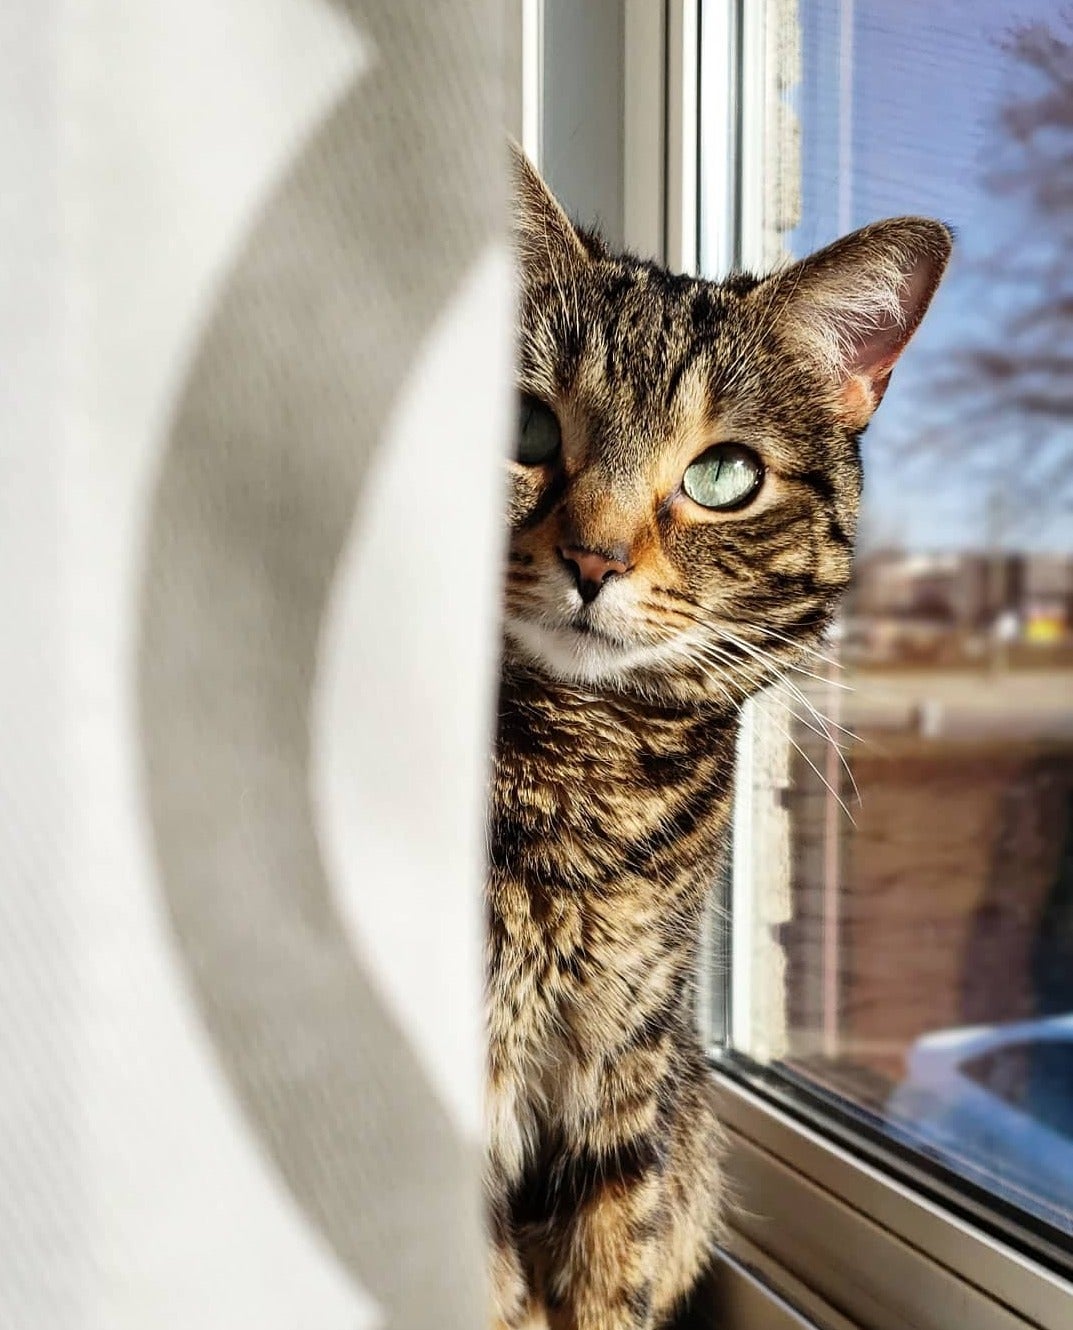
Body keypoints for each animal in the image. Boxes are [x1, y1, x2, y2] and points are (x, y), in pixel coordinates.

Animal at [486, 145, 946, 1330]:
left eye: (723, 476)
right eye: (523, 430)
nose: (593, 560)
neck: (583, 771)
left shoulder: (630, 1053)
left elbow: (613, 1259)